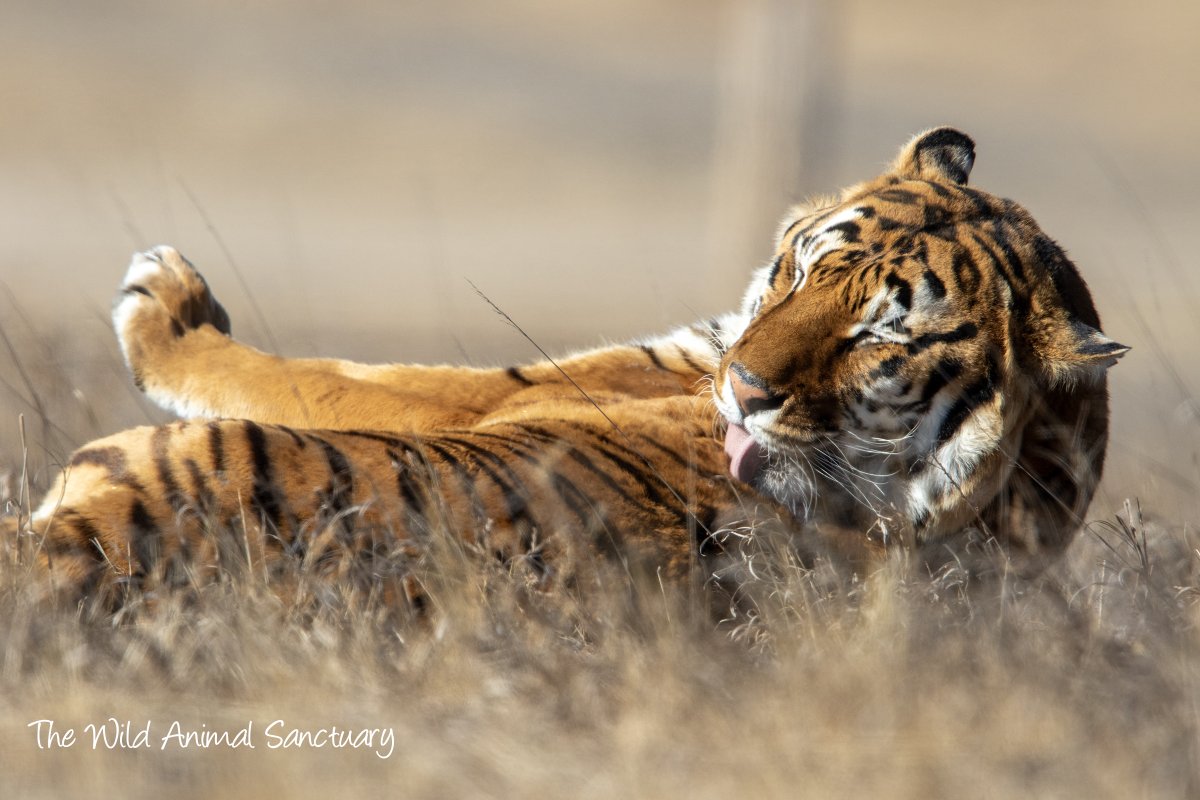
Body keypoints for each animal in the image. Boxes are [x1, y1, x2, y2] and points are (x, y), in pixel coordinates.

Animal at [3, 127, 1127, 607]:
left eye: (877, 340)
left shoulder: (517, 391)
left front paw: (165, 301)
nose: (744, 390)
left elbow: (342, 376)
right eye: (806, 269)